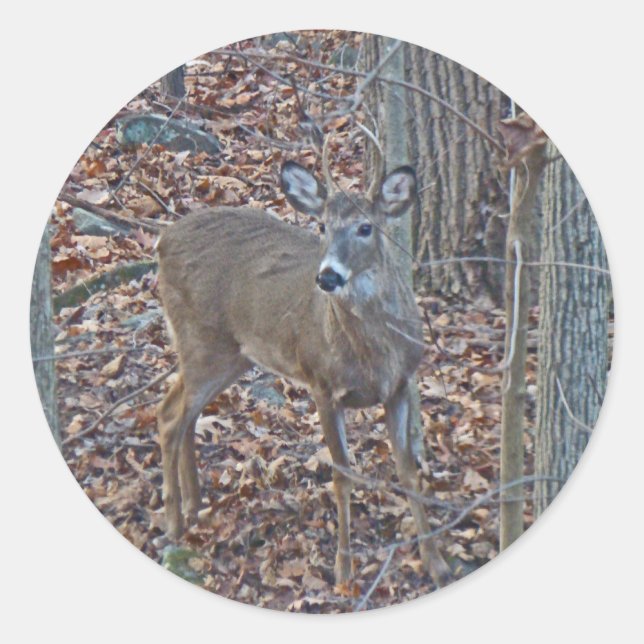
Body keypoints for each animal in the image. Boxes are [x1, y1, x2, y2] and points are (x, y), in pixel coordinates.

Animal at [155, 148, 451, 588]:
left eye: (366, 227)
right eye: (323, 225)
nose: (328, 276)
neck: (375, 358)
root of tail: (161, 241)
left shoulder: (399, 386)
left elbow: (408, 470)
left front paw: (436, 562)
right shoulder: (321, 384)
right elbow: (342, 474)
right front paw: (344, 569)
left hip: (231, 354)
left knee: (184, 412)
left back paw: (195, 506)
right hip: (202, 342)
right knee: (168, 415)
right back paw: (174, 523)